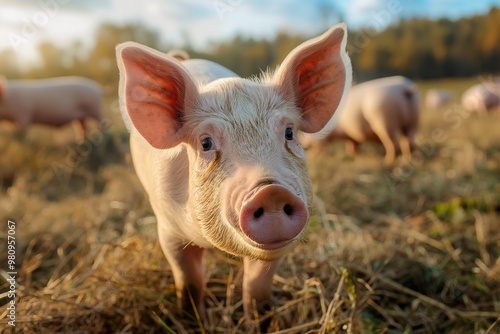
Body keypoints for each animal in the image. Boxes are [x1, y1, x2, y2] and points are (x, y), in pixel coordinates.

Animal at [117, 24, 352, 328]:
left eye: (289, 132)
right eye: (206, 143)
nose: (271, 191)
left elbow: (256, 289)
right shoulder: (168, 230)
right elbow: (190, 284)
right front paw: (197, 323)